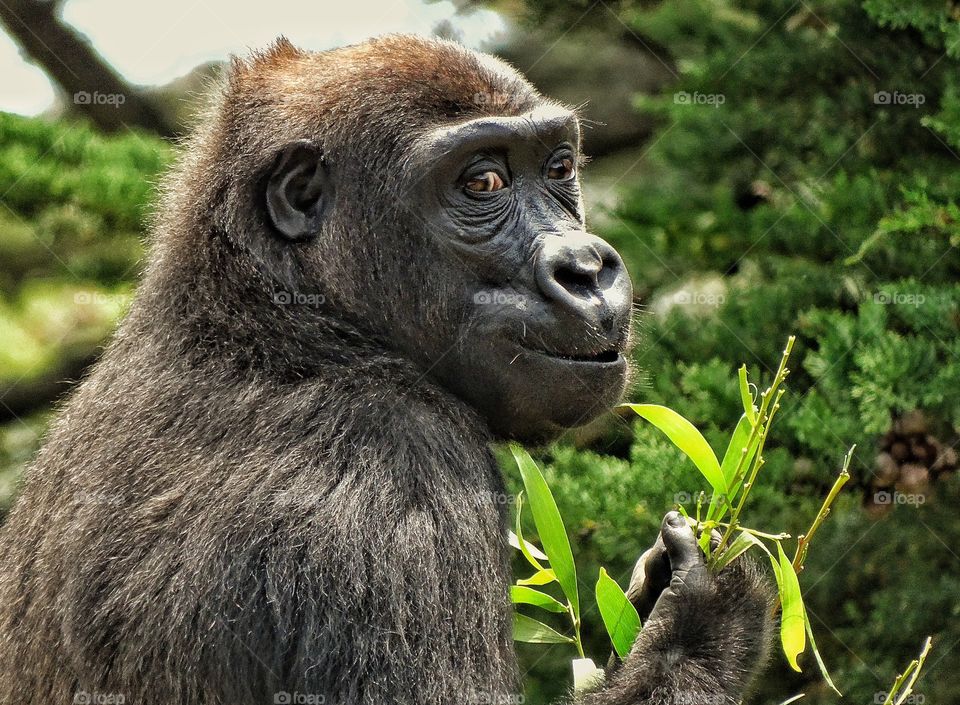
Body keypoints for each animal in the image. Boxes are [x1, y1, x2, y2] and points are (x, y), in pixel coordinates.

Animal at [0, 34, 768, 704]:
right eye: (483, 180)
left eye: (558, 170)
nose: (586, 267)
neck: (274, 321)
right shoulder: (400, 468)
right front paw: (701, 622)